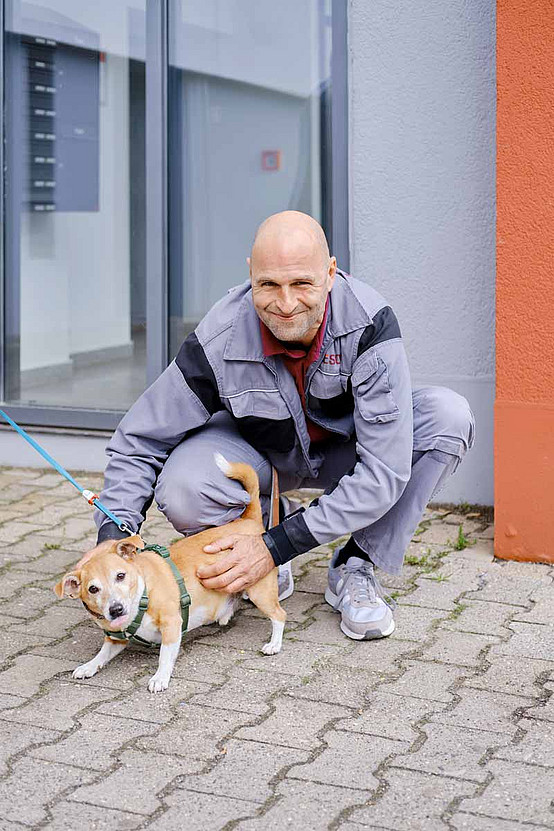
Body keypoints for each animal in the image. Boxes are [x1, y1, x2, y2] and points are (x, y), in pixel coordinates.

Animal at [52, 452, 284, 692]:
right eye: (93, 589)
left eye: (120, 576)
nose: (116, 609)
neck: (142, 595)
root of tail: (248, 520)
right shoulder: (116, 639)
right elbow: (102, 654)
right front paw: (89, 666)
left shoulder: (172, 625)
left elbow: (165, 655)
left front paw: (160, 677)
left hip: (260, 592)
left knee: (279, 616)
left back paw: (274, 644)